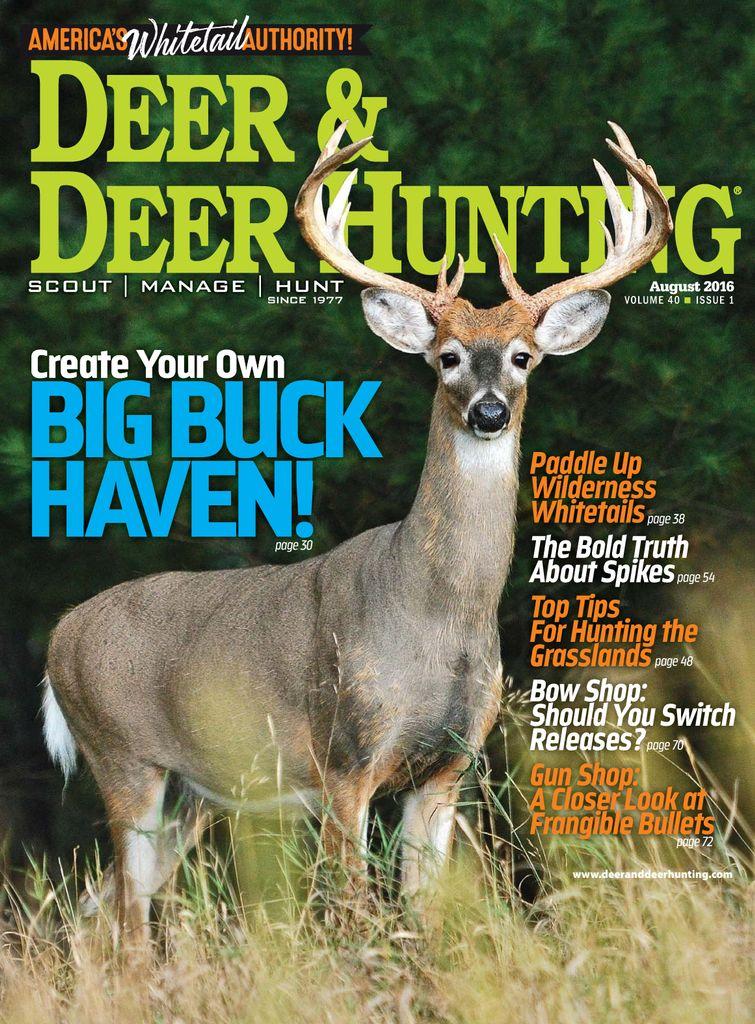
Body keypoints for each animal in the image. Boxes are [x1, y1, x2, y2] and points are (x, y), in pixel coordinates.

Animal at [42, 121, 672, 943]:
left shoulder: (447, 769)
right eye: (446, 357)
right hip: (123, 756)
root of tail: (58, 638)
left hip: (193, 793)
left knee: (97, 910)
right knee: (123, 922)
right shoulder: (344, 754)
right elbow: (354, 914)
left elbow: (423, 917)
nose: (490, 412)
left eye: (523, 358)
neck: (436, 618)